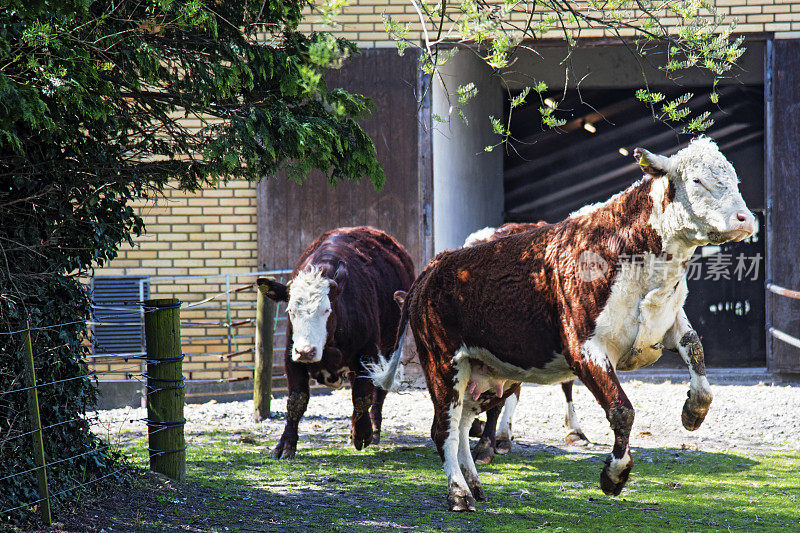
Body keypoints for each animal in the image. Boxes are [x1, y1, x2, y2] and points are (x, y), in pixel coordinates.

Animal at [262, 224, 416, 458]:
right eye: (290, 311)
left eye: (326, 310)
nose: (306, 351)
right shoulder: (291, 358)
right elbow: (296, 400)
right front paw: (286, 443)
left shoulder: (367, 355)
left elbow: (362, 396)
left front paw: (362, 433)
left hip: (390, 348)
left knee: (378, 390)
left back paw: (374, 429)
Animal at [368, 138, 756, 512]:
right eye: (697, 180)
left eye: (736, 179)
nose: (745, 219)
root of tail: (433, 268)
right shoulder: (583, 347)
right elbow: (622, 410)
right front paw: (614, 475)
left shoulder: (667, 323)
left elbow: (697, 357)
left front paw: (693, 412)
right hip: (442, 362)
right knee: (443, 430)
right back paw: (458, 493)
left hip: (484, 373)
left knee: (463, 425)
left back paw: (475, 485)